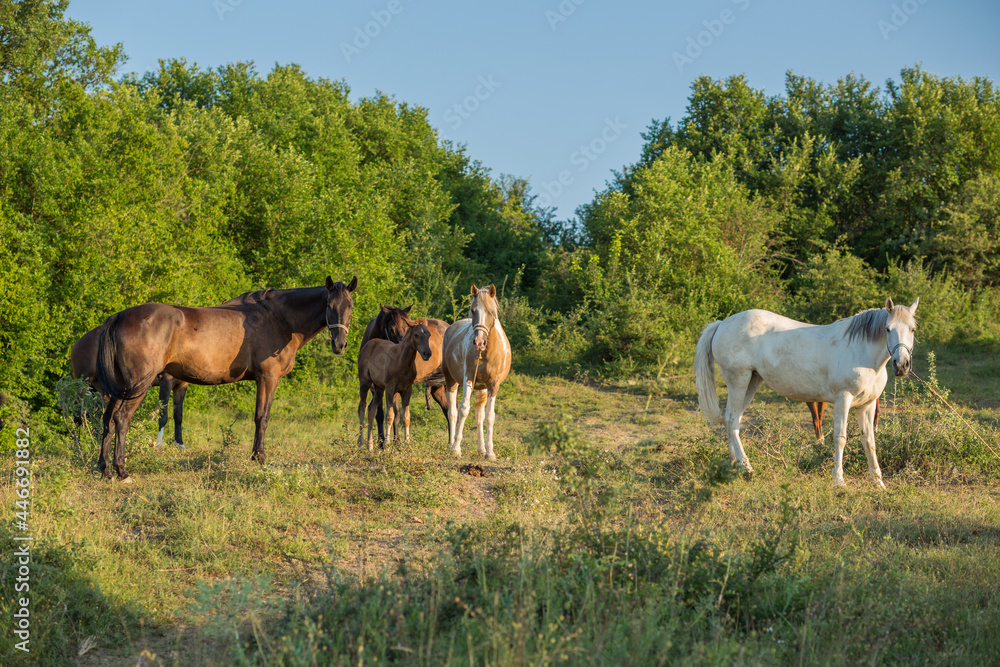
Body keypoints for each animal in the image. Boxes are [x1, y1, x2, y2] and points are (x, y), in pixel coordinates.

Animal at [94, 276, 360, 480]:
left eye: (350, 306)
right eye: (329, 305)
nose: (340, 345)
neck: (279, 318)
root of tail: (119, 316)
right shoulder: (268, 377)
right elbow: (262, 417)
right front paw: (259, 456)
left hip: (121, 388)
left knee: (108, 419)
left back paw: (104, 469)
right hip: (139, 385)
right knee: (121, 418)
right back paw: (121, 470)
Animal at [360, 306, 450, 444]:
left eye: (405, 327)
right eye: (391, 329)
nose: (427, 353)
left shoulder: (399, 389)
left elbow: (398, 415)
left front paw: (396, 443)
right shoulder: (380, 387)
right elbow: (381, 413)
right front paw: (383, 443)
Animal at [442, 284, 512, 462]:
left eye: (491, 312)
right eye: (473, 310)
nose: (479, 342)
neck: (487, 351)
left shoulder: (493, 385)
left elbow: (489, 416)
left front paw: (490, 452)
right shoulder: (468, 379)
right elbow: (463, 409)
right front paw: (456, 449)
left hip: (482, 388)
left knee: (479, 415)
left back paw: (481, 449)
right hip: (451, 381)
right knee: (453, 412)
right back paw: (450, 444)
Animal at [696, 300, 920, 488]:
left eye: (912, 329)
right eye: (888, 329)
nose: (901, 365)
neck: (862, 353)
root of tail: (722, 324)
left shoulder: (868, 404)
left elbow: (870, 441)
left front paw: (878, 483)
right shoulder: (843, 400)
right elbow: (840, 438)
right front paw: (839, 481)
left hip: (751, 382)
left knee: (731, 420)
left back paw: (733, 465)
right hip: (739, 381)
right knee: (732, 420)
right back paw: (746, 467)